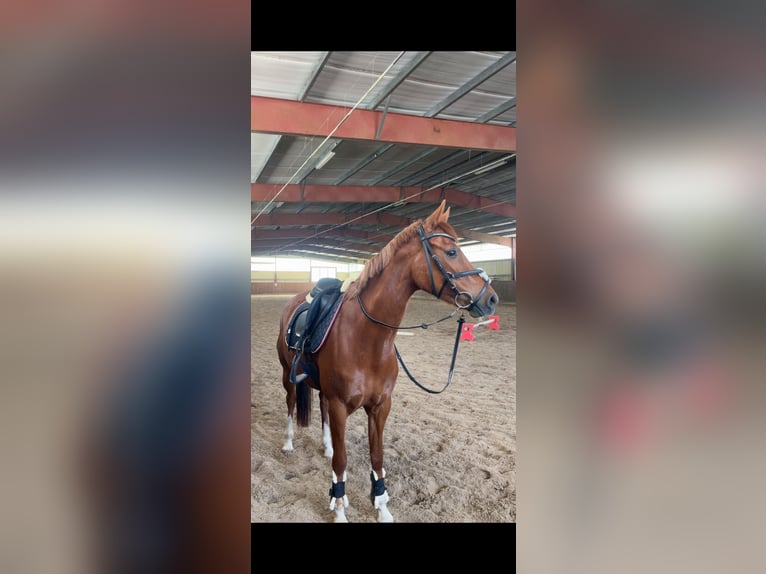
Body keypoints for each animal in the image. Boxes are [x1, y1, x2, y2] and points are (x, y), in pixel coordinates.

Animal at [275, 200, 499, 522]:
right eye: (451, 252)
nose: (492, 298)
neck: (366, 339)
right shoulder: (341, 406)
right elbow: (342, 462)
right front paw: (339, 509)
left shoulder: (380, 406)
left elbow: (377, 457)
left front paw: (381, 506)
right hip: (287, 376)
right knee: (292, 404)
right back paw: (289, 443)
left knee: (320, 407)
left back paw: (326, 445)